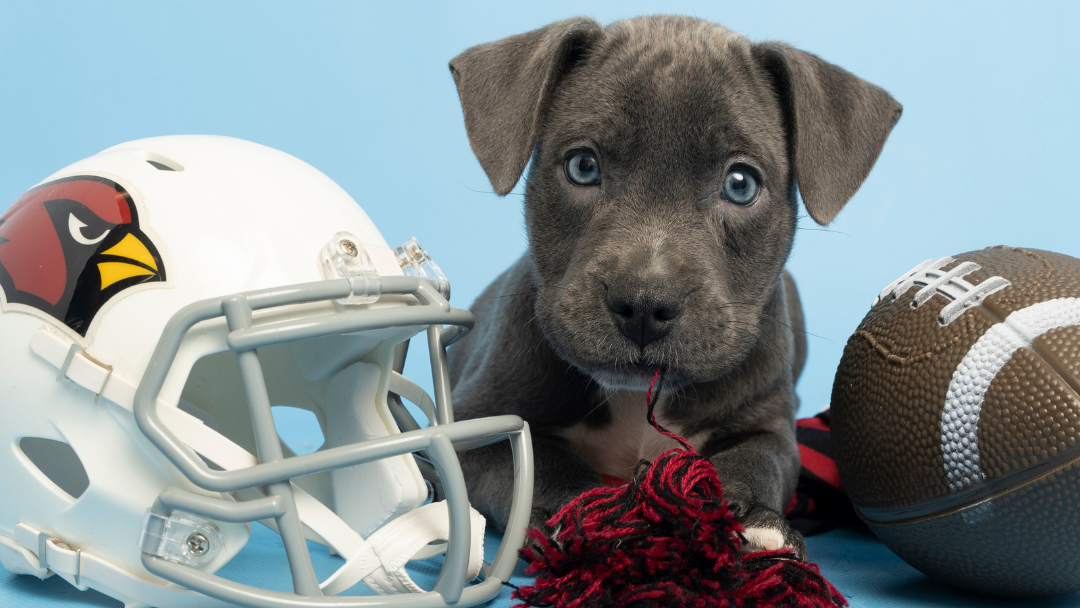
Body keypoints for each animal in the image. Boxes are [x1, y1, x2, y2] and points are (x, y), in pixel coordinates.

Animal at [442, 15, 898, 557]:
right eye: (583, 166)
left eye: (741, 183)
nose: (644, 304)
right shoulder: (474, 425)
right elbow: (537, 463)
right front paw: (590, 514)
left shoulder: (771, 429)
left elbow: (758, 460)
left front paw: (756, 521)